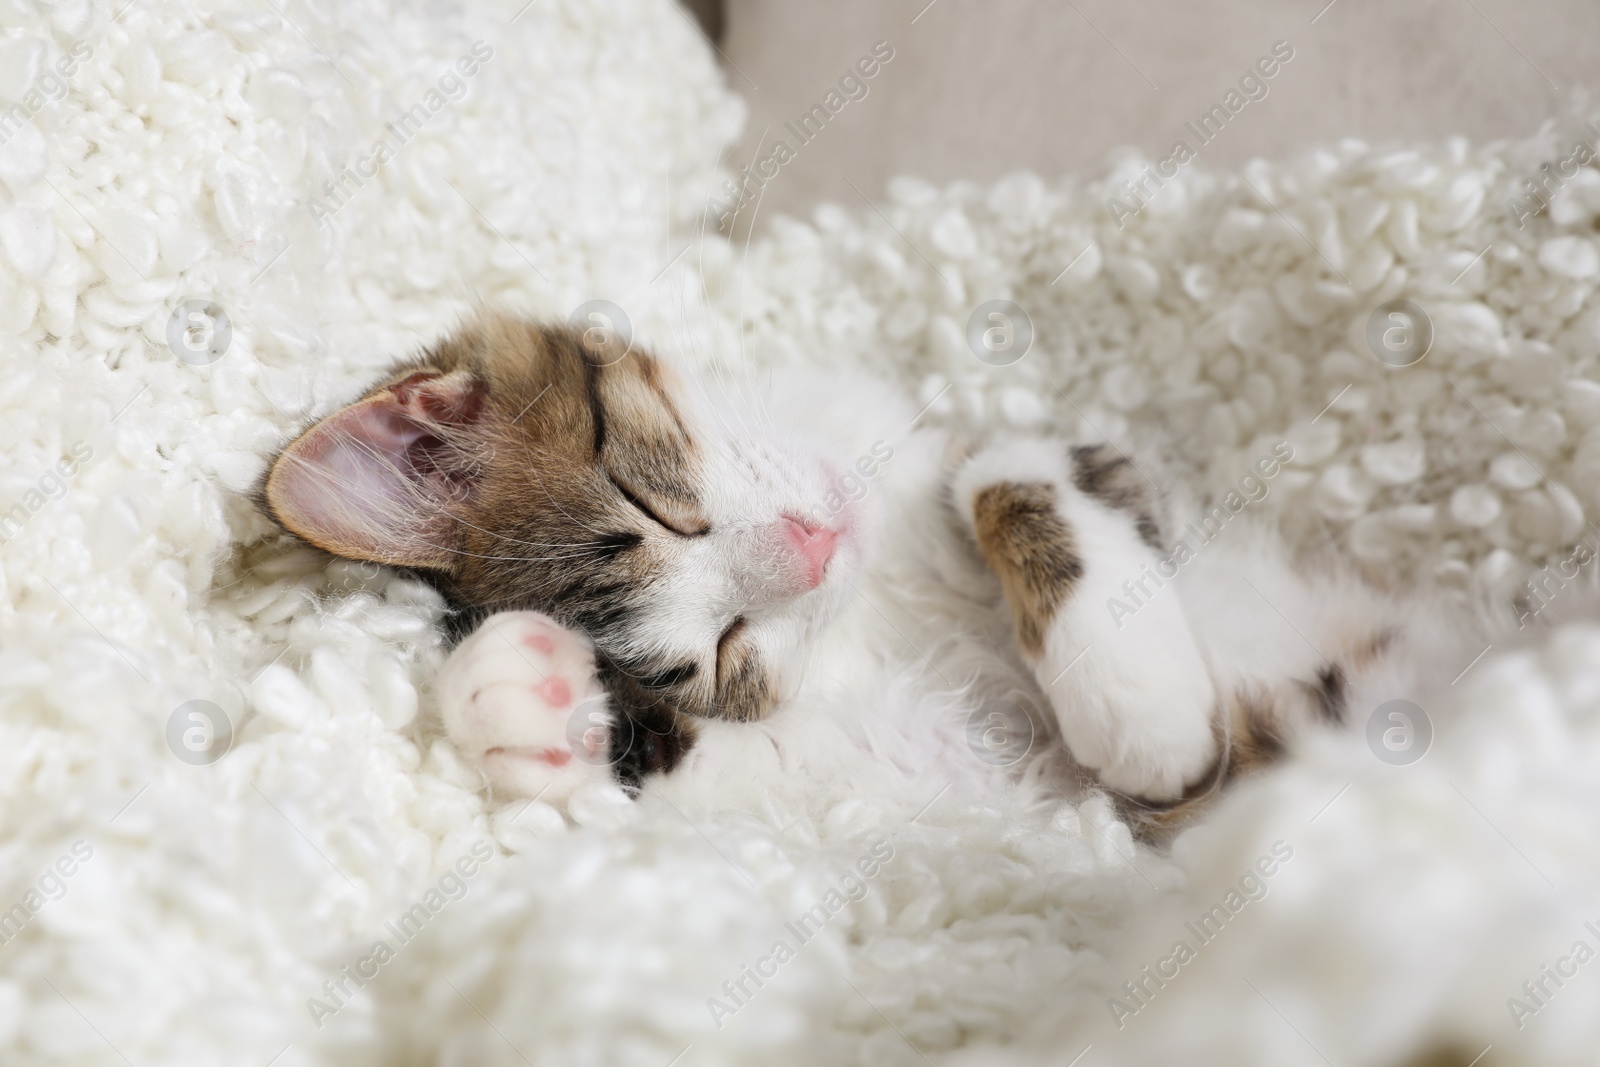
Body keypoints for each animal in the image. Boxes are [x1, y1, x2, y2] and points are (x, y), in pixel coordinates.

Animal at [265, 313, 1497, 831]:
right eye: (716, 655)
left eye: (655, 501)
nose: (811, 550)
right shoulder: (927, 763)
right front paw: (533, 702)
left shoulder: (1091, 465)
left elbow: (1003, 473)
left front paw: (1139, 707)